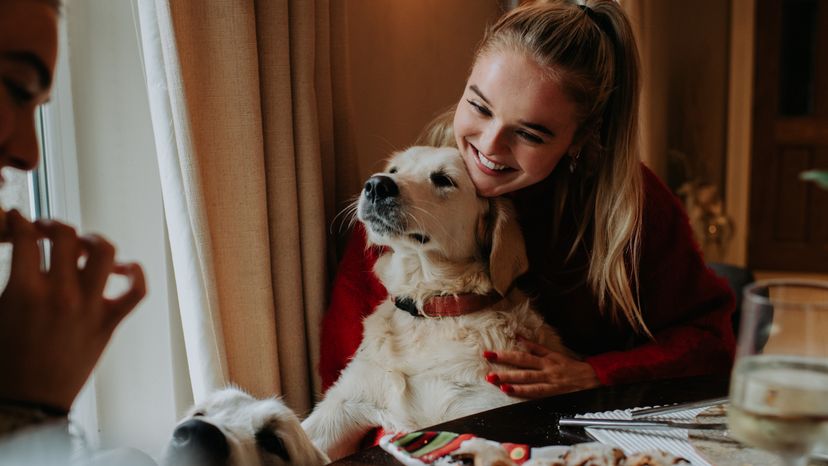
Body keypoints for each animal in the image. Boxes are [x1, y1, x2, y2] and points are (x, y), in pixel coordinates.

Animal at [304, 147, 568, 460]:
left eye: (443, 179)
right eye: (393, 170)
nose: (376, 185)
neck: (433, 311)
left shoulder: (474, 407)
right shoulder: (341, 405)